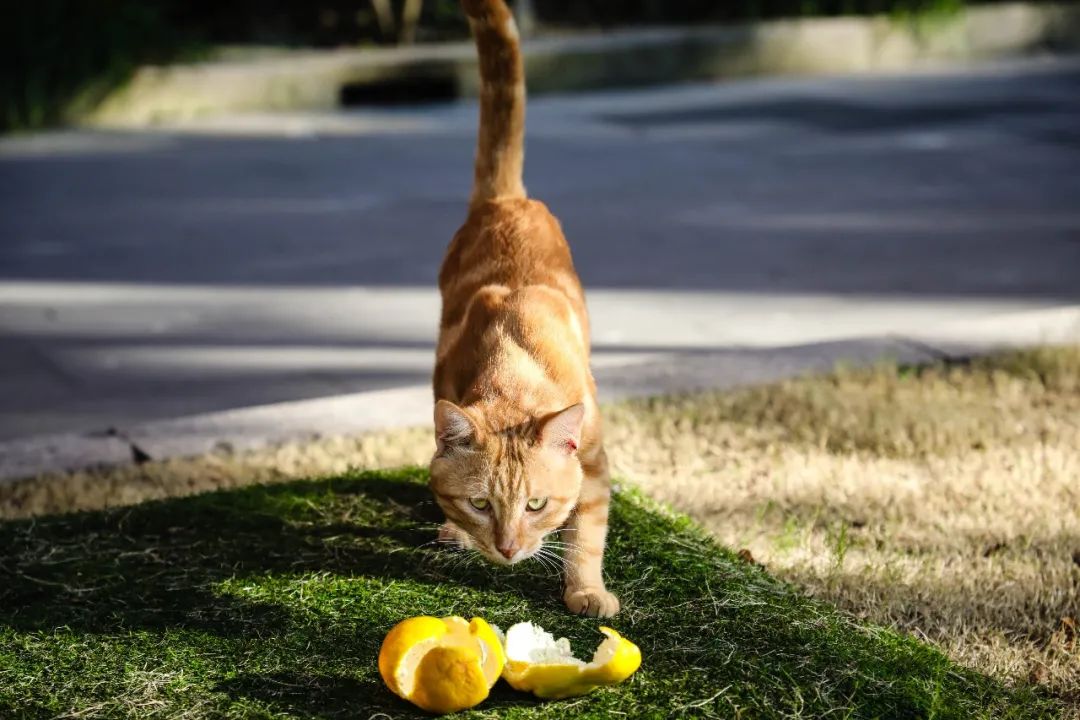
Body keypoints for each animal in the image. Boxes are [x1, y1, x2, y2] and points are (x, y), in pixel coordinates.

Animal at [427, 0, 622, 621]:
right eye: (480, 504)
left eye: (536, 504)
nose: (508, 549)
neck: (513, 366)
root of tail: (506, 198)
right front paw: (459, 532)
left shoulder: (594, 463)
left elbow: (587, 533)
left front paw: (585, 589)